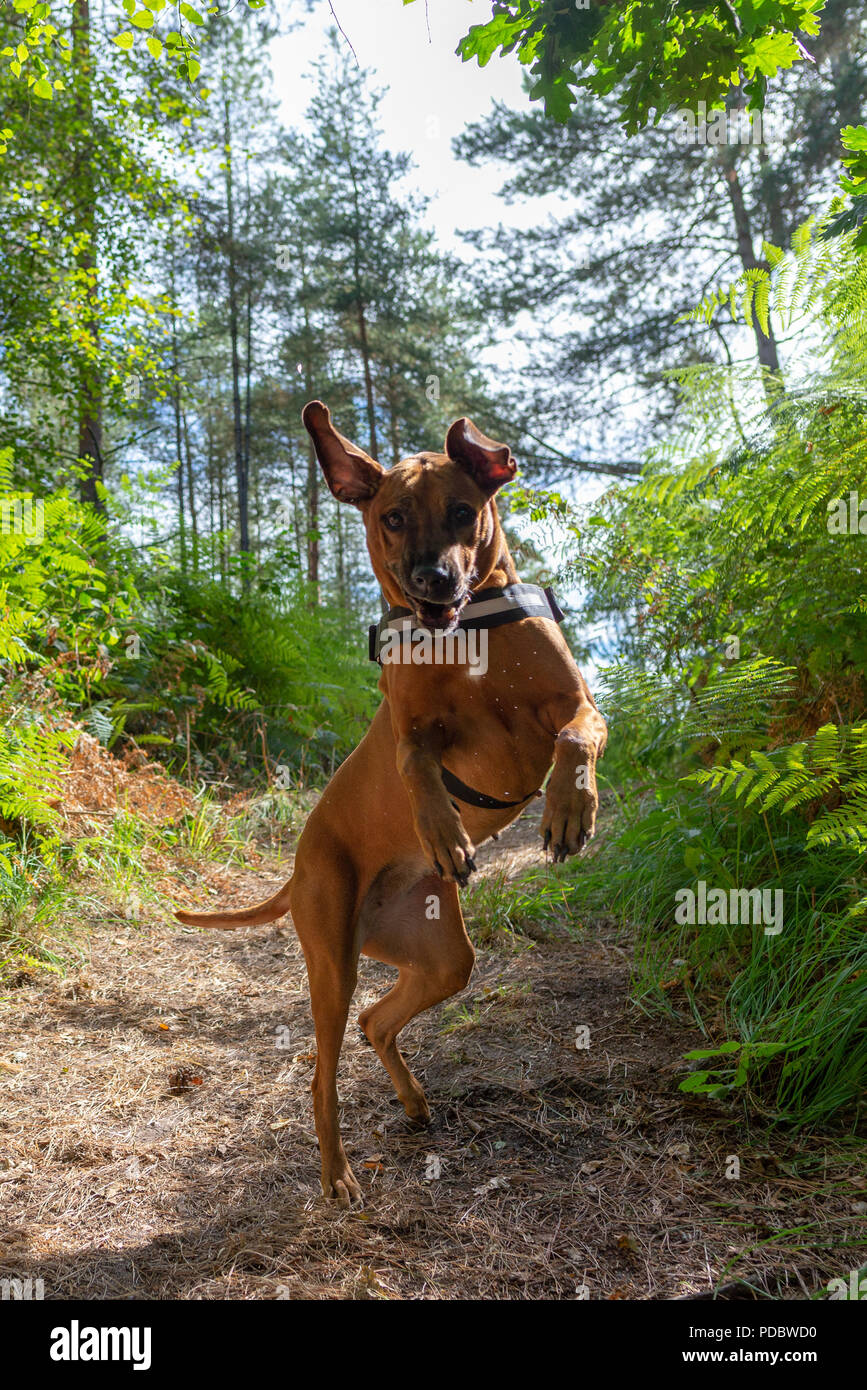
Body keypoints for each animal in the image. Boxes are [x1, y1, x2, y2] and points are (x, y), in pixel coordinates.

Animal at [176, 403, 608, 1206]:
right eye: (393, 518)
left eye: (463, 511)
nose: (430, 579)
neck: (467, 635)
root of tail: (297, 873)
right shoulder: (412, 728)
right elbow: (413, 764)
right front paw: (440, 827)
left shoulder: (575, 705)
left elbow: (575, 736)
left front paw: (570, 808)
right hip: (332, 963)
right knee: (323, 1076)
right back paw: (337, 1173)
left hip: (442, 960)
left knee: (380, 1020)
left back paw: (410, 1101)